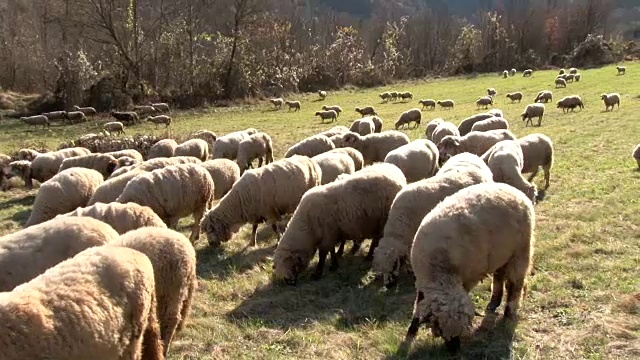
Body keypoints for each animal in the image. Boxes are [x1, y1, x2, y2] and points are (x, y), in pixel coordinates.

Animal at [274, 163, 404, 284]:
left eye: (289, 264)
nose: (289, 282)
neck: (308, 227)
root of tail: (399, 182)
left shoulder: (327, 235)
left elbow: (322, 255)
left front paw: (318, 273)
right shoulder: (331, 234)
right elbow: (331, 250)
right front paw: (334, 263)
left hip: (382, 222)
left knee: (376, 240)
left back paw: (369, 256)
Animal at [404, 181, 536, 350]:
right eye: (441, 329)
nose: (454, 351)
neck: (440, 268)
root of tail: (514, 190)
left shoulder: (468, 277)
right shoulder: (422, 283)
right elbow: (418, 306)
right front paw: (411, 331)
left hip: (520, 251)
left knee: (515, 285)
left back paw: (508, 313)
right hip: (501, 254)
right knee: (500, 277)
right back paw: (494, 301)